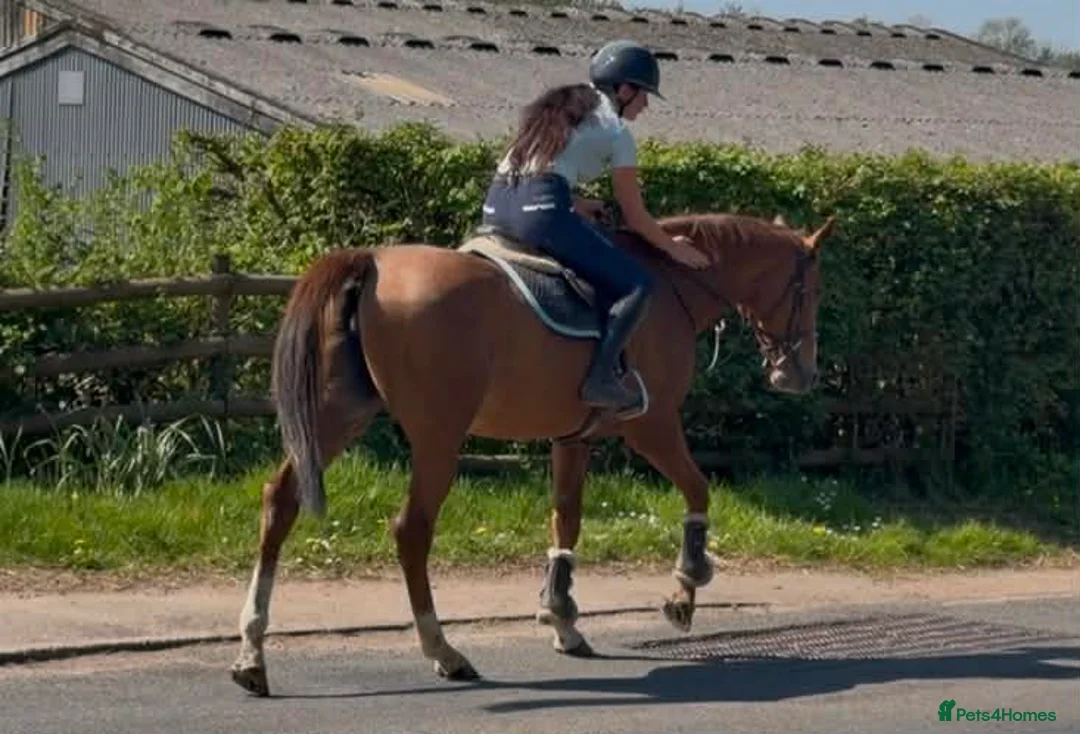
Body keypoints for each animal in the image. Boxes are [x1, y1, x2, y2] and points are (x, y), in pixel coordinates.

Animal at [229, 208, 834, 696]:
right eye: (809, 292)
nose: (799, 374)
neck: (672, 283)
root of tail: (373, 262)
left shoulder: (573, 438)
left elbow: (566, 521)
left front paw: (561, 616)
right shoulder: (653, 425)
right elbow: (697, 490)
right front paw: (685, 588)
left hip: (340, 415)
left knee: (280, 502)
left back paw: (252, 654)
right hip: (438, 435)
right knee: (412, 530)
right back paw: (443, 651)